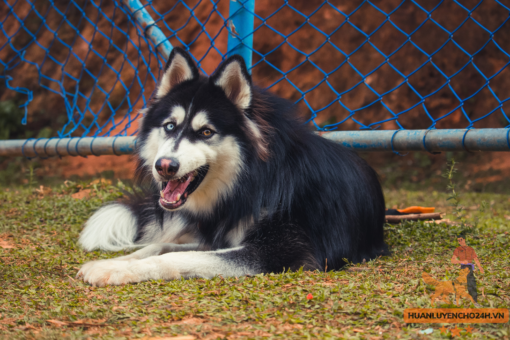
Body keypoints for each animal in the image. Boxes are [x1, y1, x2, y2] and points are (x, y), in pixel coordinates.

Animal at [76, 47, 386, 286]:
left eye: (206, 132)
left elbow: (178, 256)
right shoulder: (217, 236)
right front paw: (116, 262)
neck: (251, 183)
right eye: (170, 126)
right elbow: (159, 246)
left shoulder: (282, 252)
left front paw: (117, 269)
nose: (164, 167)